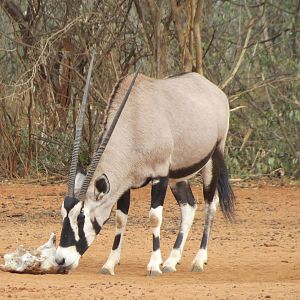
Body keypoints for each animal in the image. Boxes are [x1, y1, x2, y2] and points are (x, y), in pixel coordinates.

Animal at [55, 57, 234, 276]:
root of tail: (214, 91)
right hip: (177, 177)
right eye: (63, 214)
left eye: (81, 217)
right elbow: (121, 218)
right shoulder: (125, 184)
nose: (61, 259)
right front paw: (109, 264)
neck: (134, 121)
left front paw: (154, 265)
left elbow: (154, 218)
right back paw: (171, 261)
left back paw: (198, 261)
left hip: (212, 160)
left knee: (210, 205)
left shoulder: (160, 177)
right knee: (189, 206)